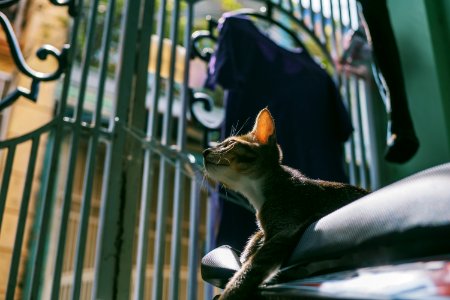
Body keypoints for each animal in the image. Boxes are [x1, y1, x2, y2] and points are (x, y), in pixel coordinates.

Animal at [203, 108, 370, 300]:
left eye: (229, 143)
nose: (205, 151)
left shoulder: (287, 226)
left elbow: (254, 265)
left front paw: (231, 292)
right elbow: (258, 234)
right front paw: (251, 246)